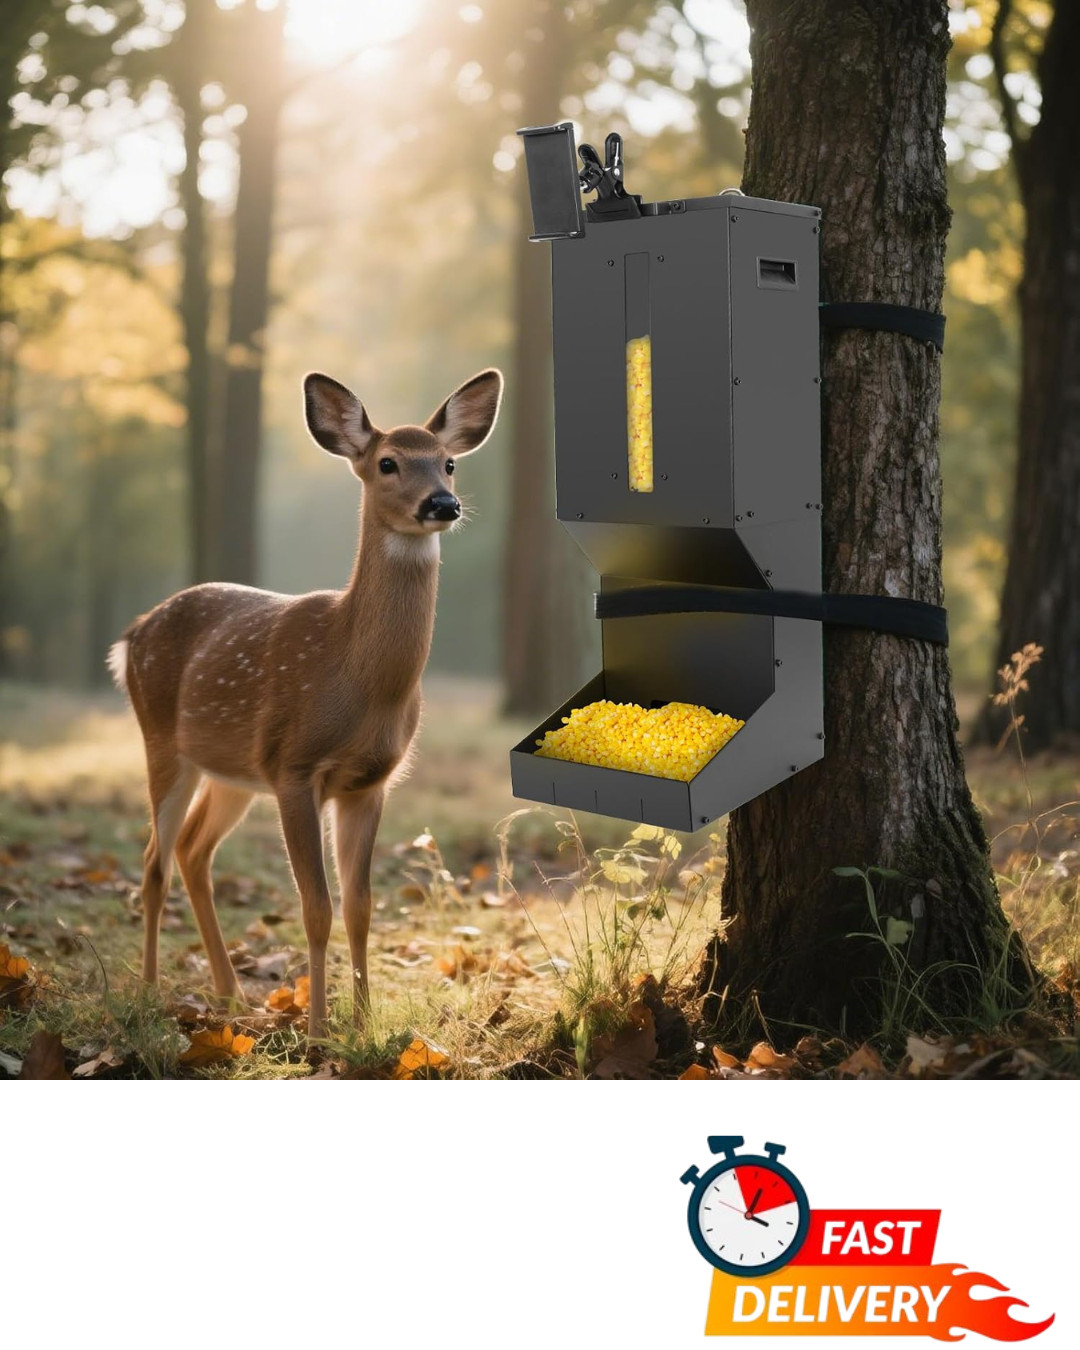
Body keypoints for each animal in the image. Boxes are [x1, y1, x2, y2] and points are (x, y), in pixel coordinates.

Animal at [109, 367, 504, 1042]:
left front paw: (364, 1022)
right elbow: (315, 907)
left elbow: (361, 906)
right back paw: (151, 989)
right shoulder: (293, 768)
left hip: (232, 770)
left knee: (192, 852)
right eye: (388, 463)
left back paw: (229, 994)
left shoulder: (368, 782)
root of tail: (131, 635)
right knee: (154, 861)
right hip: (161, 739)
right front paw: (319, 1028)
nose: (442, 504)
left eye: (449, 463)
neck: (357, 679)